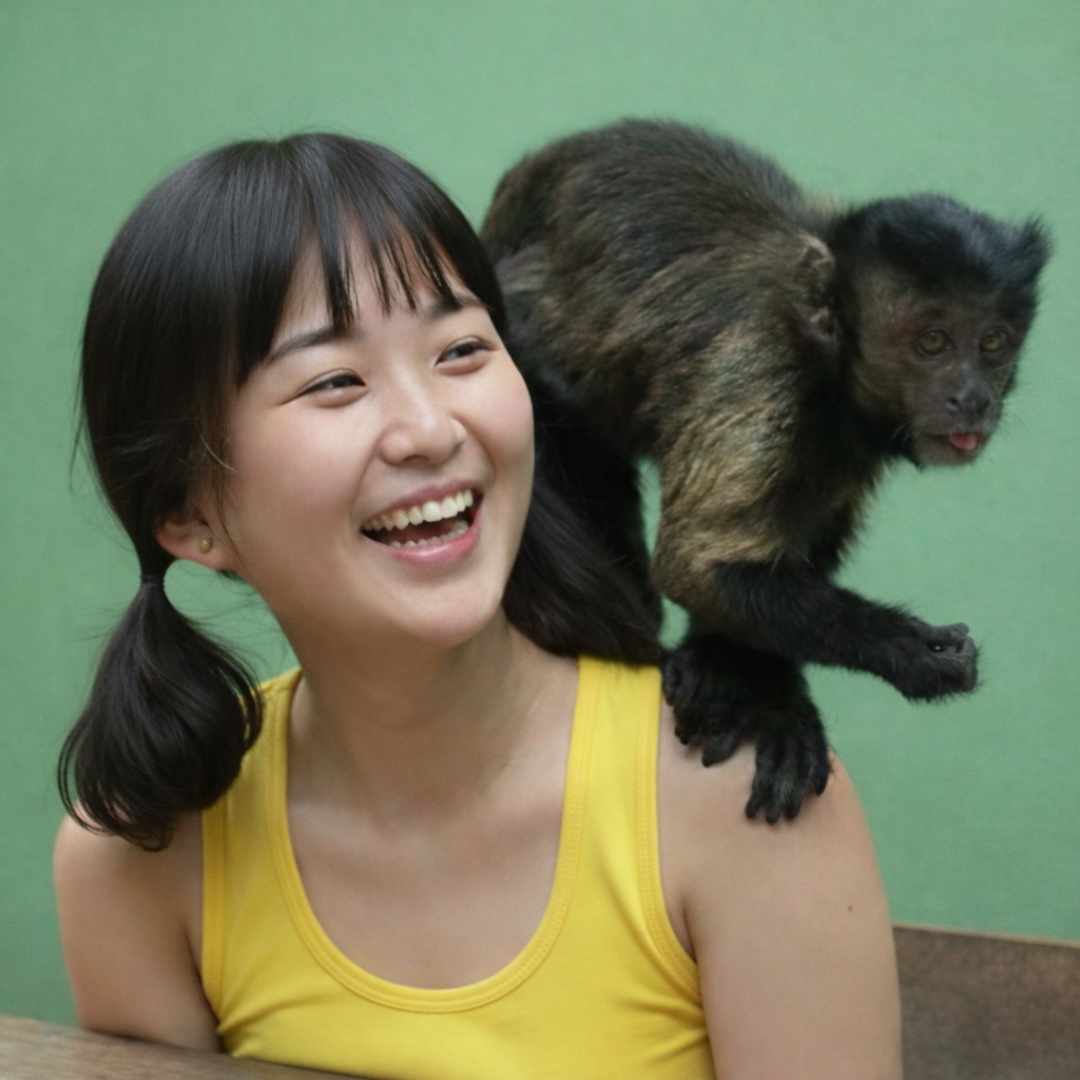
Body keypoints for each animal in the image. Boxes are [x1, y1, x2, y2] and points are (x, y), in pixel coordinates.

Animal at [480, 119, 1050, 823]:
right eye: (934, 341)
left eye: (994, 342)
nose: (973, 397)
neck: (827, 366)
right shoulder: (762, 367)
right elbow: (696, 565)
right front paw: (907, 653)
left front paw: (748, 683)